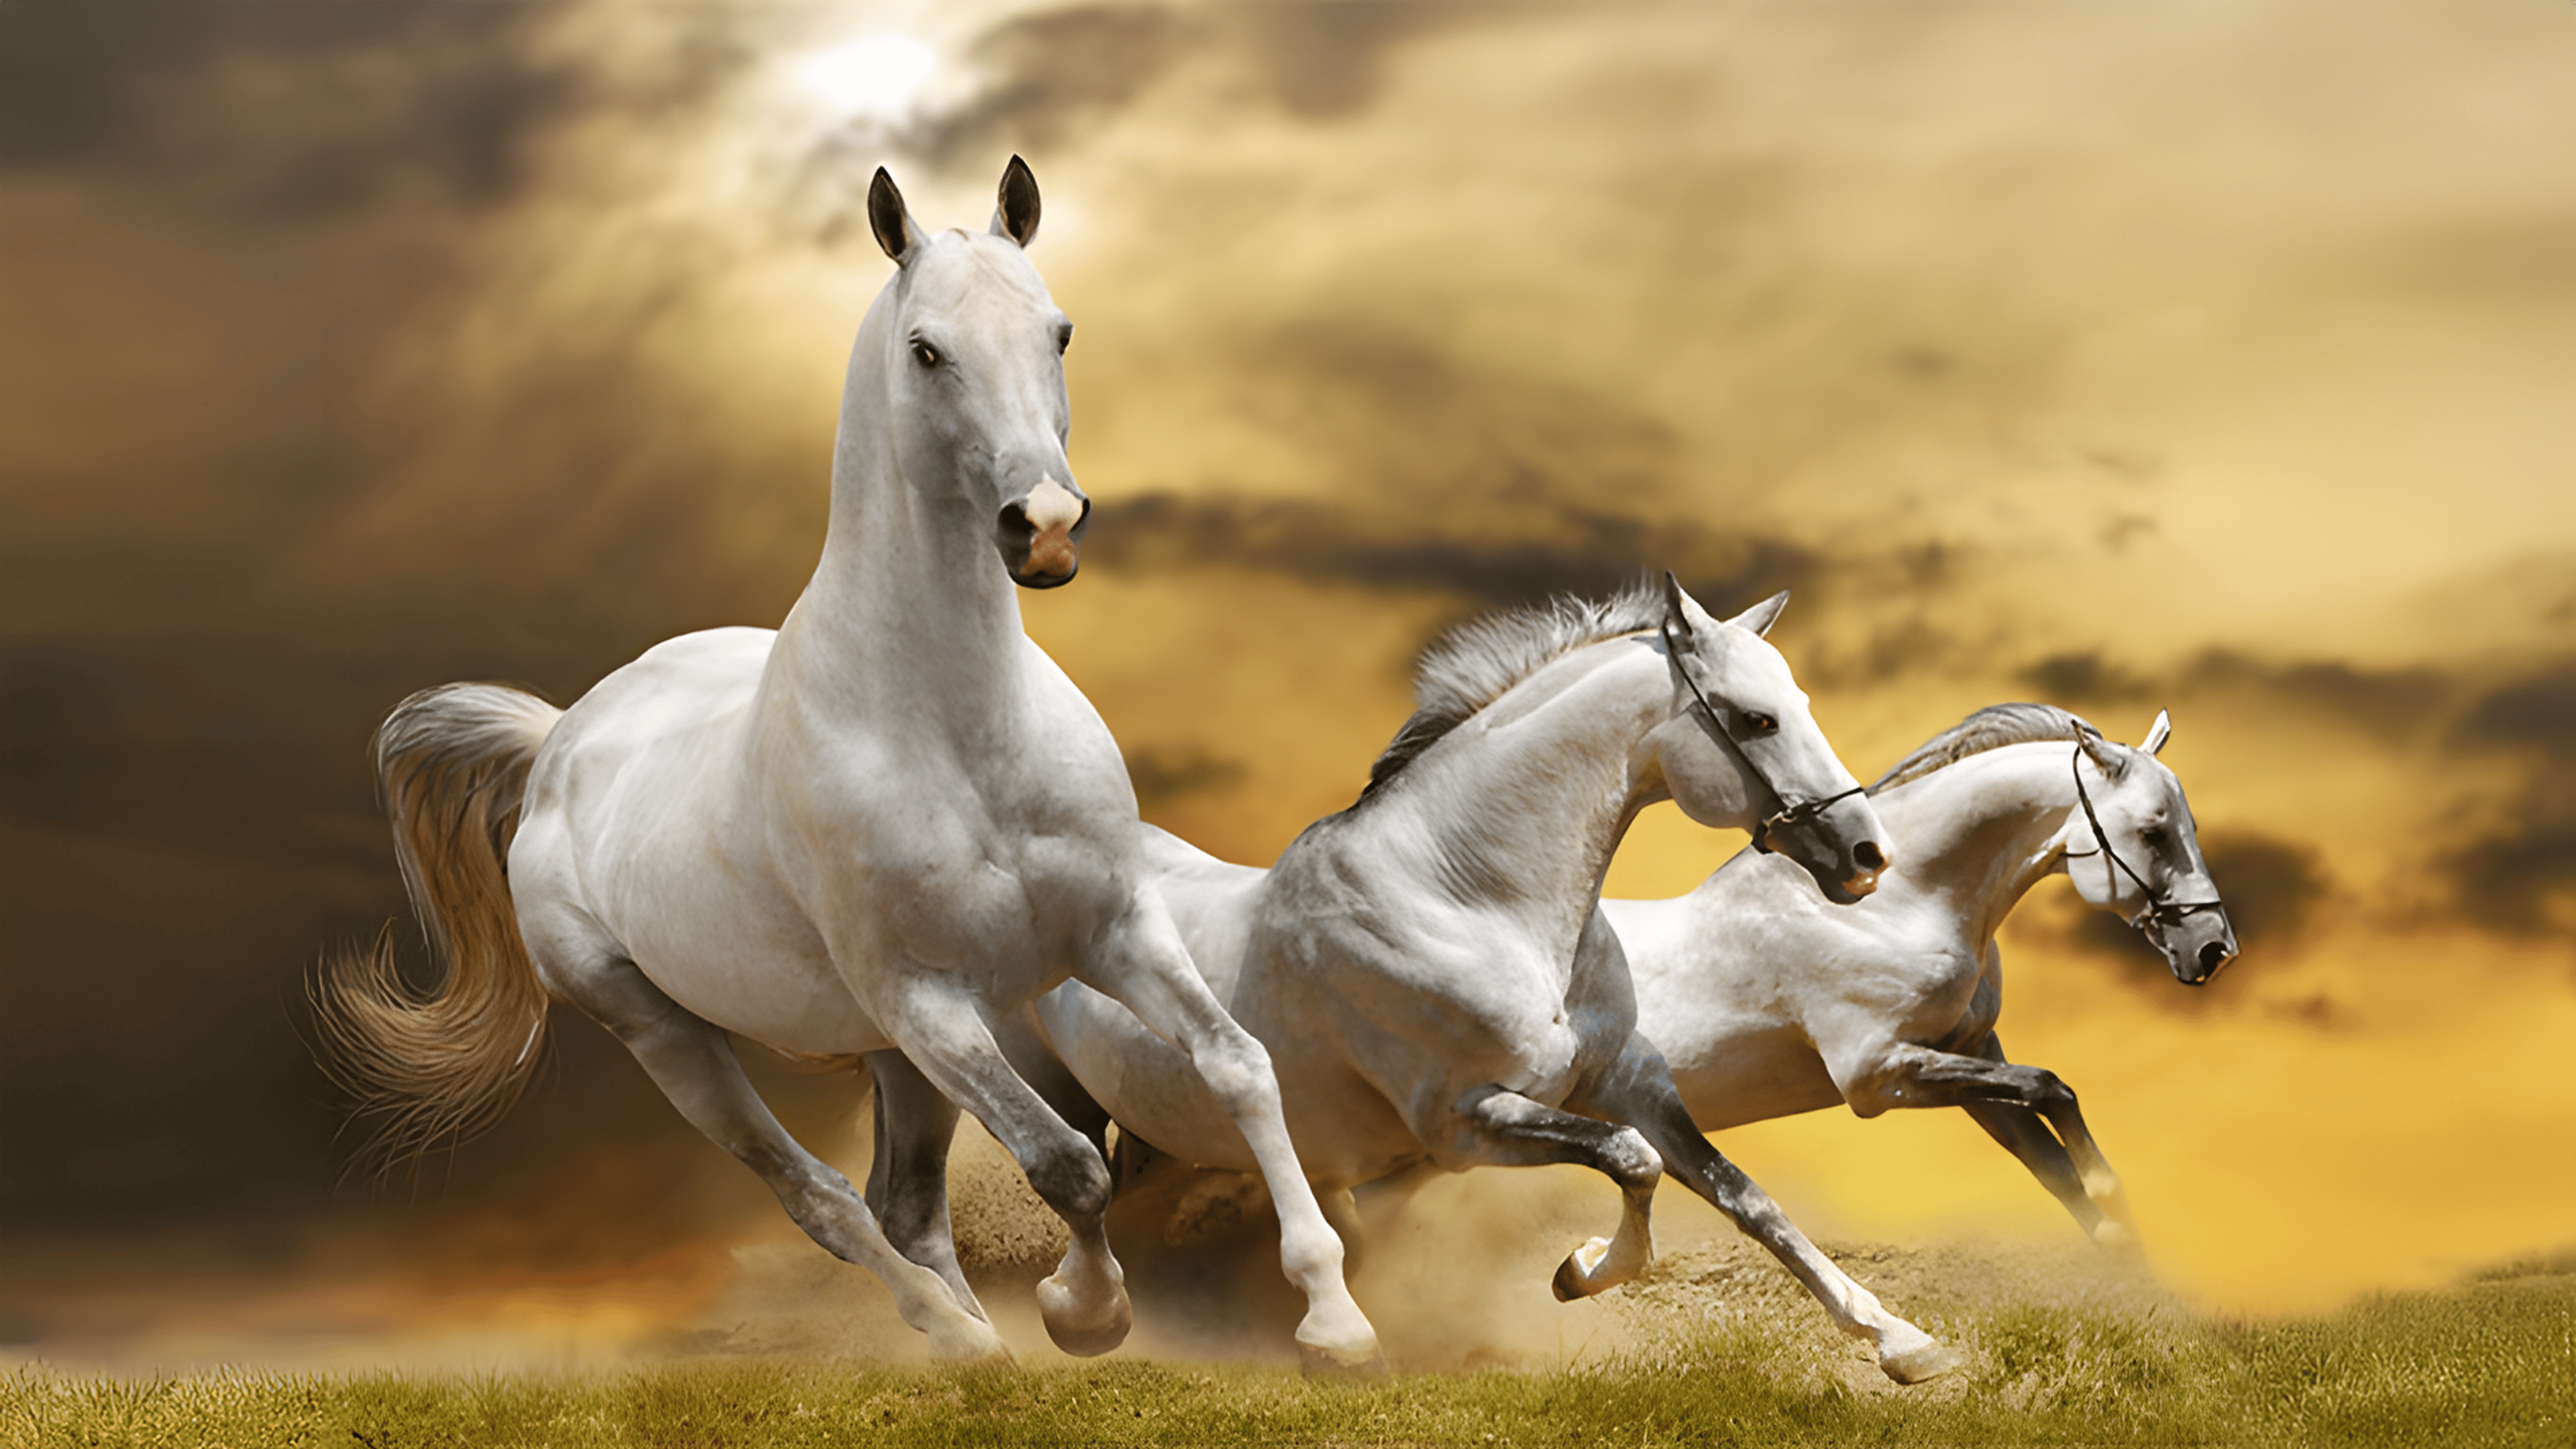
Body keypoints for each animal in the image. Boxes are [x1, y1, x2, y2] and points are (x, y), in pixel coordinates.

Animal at [312, 159, 1382, 1372]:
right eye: (925, 349)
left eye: (1059, 331)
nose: (1046, 527)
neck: (963, 733)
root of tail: (560, 742)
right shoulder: (928, 999)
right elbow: (1067, 1160)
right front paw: (1086, 1314)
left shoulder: (1112, 930)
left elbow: (1237, 1064)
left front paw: (1334, 1318)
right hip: (675, 1036)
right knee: (820, 1197)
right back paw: (959, 1338)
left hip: (891, 1059)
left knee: (902, 1203)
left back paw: (975, 1339)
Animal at [880, 577, 1960, 1381]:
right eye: (1754, 718)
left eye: (1802, 703)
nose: (1865, 855)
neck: (1470, 900)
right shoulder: (1467, 1120)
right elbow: (1632, 1165)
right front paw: (1579, 1271)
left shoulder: (1630, 1082)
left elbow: (1744, 1197)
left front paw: (1905, 1344)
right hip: (1041, 1087)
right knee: (1055, 1184)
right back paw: (1078, 1318)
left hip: (1167, 1135)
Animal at [1604, 703, 2238, 1247]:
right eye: (2154, 831)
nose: (2214, 950)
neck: (1895, 908)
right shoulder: (1878, 1073)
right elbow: (2051, 1088)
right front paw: (2108, 1188)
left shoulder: (1970, 1055)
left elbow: (2059, 1172)